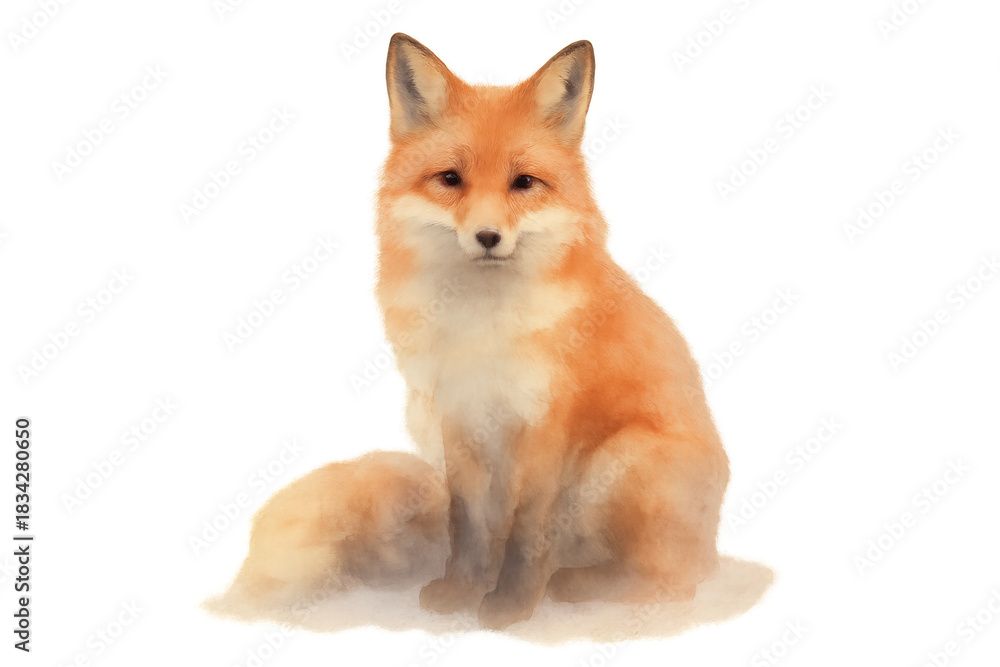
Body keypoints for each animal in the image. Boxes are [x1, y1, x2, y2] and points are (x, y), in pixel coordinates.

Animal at [221, 33, 730, 632]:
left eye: (523, 183)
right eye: (451, 179)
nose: (488, 236)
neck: (481, 329)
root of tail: (712, 547)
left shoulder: (545, 427)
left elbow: (527, 534)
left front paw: (511, 606)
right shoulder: (457, 418)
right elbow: (468, 527)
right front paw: (462, 592)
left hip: (622, 458)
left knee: (669, 585)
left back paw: (578, 585)